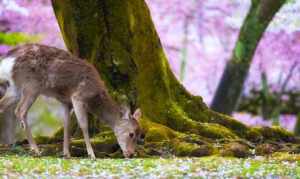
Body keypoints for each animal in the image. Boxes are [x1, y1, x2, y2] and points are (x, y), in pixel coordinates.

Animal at [0, 44, 144, 159]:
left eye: (140, 135)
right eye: (131, 134)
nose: (131, 154)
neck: (94, 96)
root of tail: (7, 60)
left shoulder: (66, 102)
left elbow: (66, 125)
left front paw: (67, 154)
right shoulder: (78, 97)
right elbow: (84, 125)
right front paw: (92, 155)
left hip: (14, 87)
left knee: (2, 105)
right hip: (31, 85)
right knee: (20, 110)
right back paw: (36, 150)